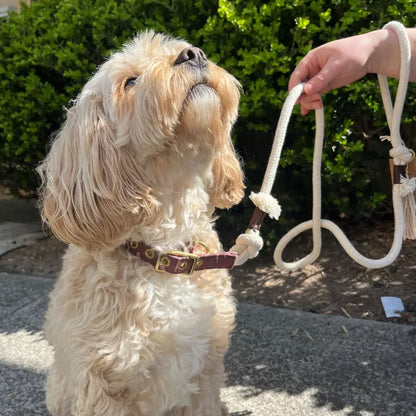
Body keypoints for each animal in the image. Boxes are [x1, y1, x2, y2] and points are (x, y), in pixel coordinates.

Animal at [38, 31, 244, 416]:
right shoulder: (99, 385)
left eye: (182, 47)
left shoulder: (206, 374)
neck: (165, 253)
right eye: (130, 82)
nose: (193, 54)